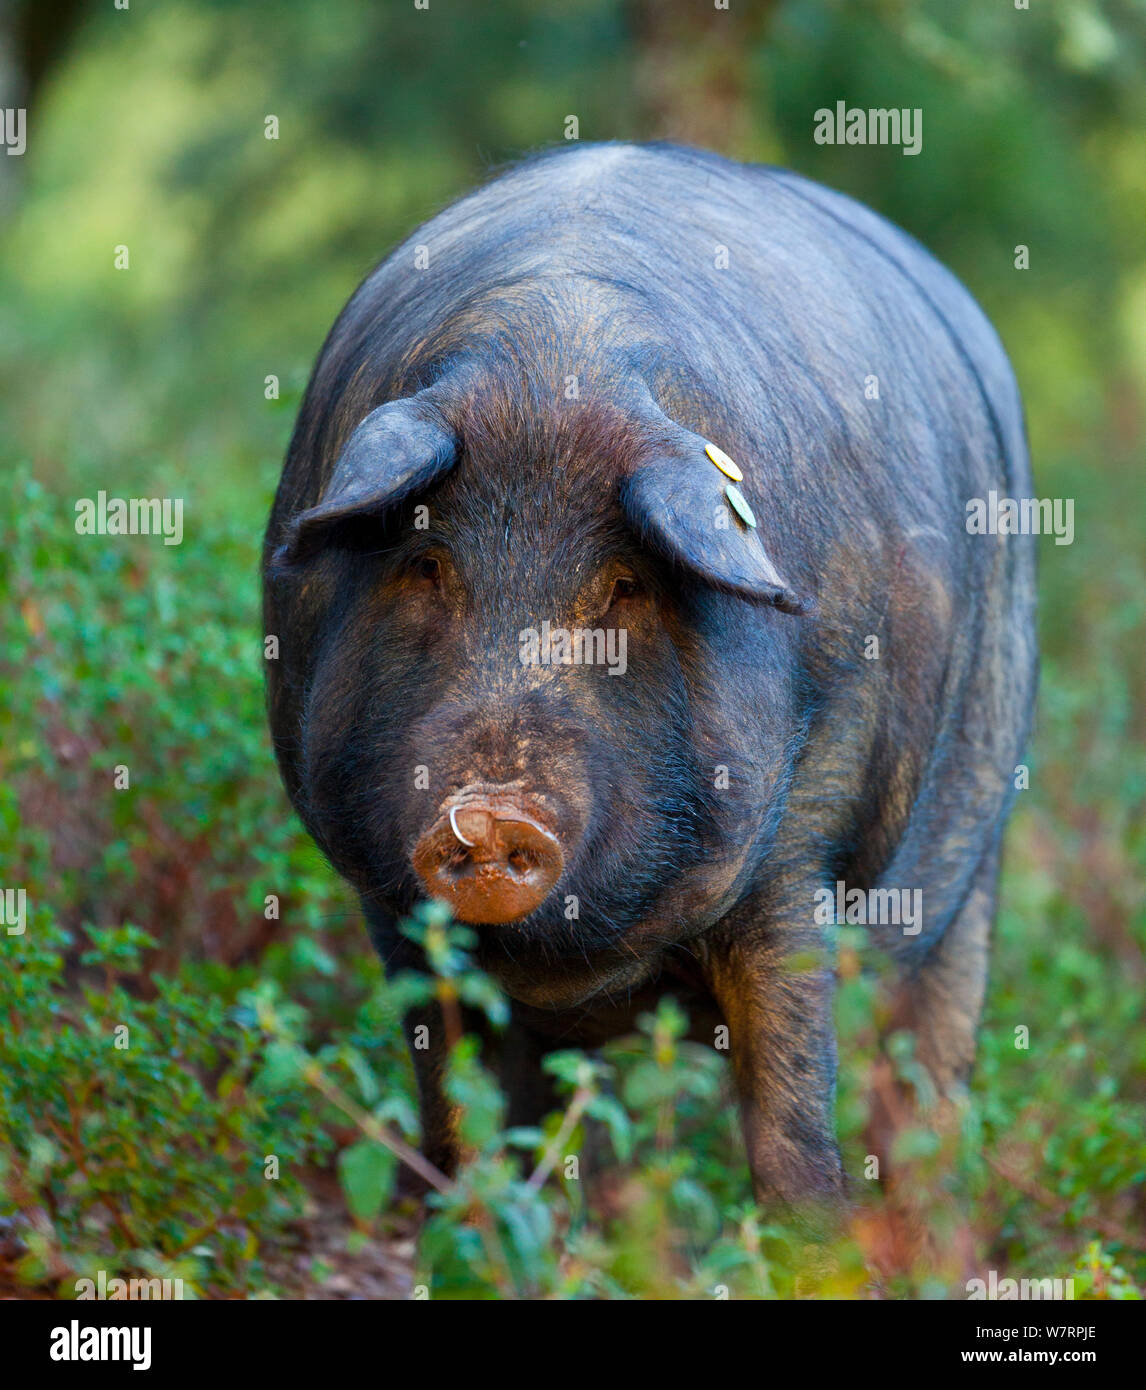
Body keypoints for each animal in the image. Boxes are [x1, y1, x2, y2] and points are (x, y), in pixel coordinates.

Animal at [264, 143, 1034, 1206]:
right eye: (426, 566)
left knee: (930, 1078)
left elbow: (791, 1125)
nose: (490, 813)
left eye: (625, 585)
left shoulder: (804, 838)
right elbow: (462, 1126)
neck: (556, 358)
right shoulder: (392, 907)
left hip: (981, 847)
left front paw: (816, 1232)